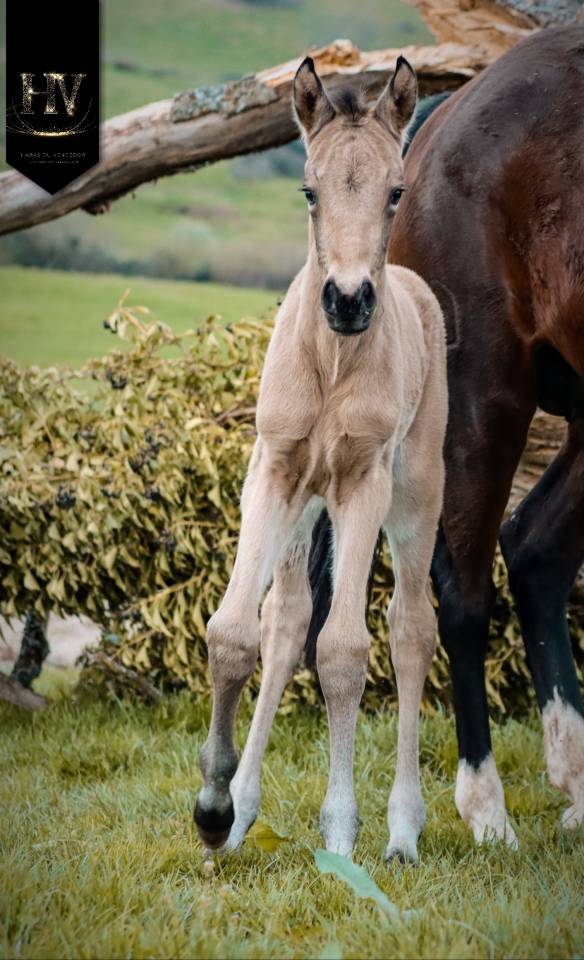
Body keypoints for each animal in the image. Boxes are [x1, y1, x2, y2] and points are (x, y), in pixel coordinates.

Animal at [194, 55, 448, 864]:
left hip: (415, 499)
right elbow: (236, 633)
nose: (347, 300)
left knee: (409, 629)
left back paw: (402, 830)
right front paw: (214, 807)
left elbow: (342, 651)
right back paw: (243, 810)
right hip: (306, 507)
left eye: (395, 191)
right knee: (285, 623)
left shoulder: (362, 484)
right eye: (309, 190)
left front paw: (339, 830)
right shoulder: (273, 472)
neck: (332, 362)